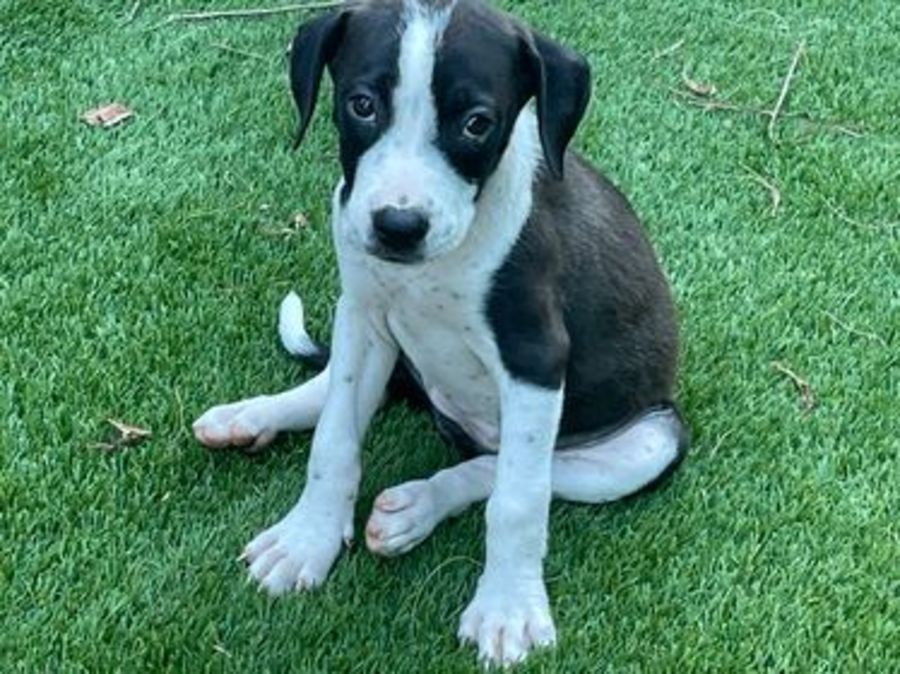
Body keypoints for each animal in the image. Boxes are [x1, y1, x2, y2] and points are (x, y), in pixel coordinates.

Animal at [193, 0, 689, 666]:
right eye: (362, 104)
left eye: (477, 123)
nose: (398, 226)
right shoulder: (364, 318)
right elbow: (334, 439)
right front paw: (306, 540)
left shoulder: (534, 357)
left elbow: (519, 500)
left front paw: (508, 609)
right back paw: (250, 417)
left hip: (650, 442)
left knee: (503, 470)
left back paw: (415, 508)